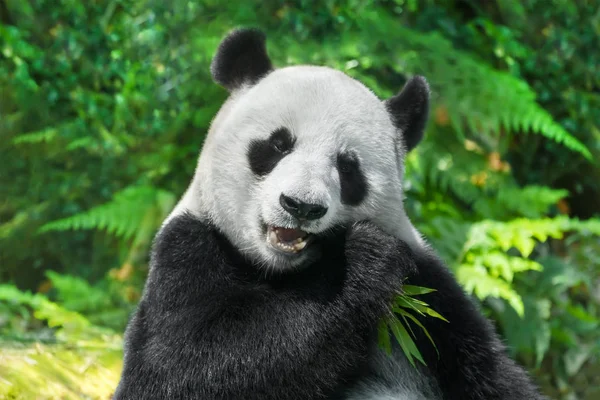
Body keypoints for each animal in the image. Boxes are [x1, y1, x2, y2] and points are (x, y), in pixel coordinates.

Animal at [113, 28, 548, 400]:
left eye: (347, 167)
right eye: (277, 145)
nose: (301, 205)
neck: (282, 272)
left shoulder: (433, 296)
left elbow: (492, 375)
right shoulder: (188, 252)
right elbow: (186, 368)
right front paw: (365, 261)